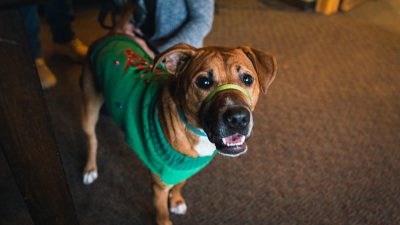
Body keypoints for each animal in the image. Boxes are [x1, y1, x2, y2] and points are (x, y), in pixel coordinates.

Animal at [80, 11, 276, 225]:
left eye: (248, 79)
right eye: (203, 82)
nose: (238, 118)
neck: (194, 132)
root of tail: (114, 34)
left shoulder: (183, 169)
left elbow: (180, 184)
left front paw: (176, 201)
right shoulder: (160, 184)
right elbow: (162, 214)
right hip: (89, 107)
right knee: (91, 139)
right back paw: (90, 169)